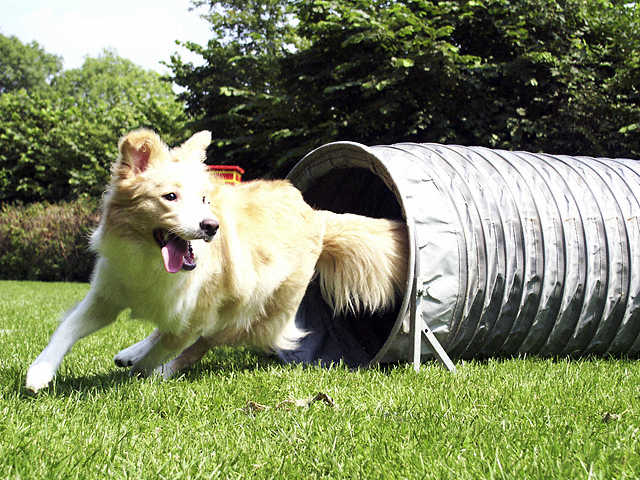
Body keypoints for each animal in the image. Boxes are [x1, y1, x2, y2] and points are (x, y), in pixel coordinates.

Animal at [25, 129, 408, 392]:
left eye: (204, 199)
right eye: (170, 197)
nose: (211, 227)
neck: (149, 259)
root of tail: (317, 215)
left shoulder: (194, 317)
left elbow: (169, 347)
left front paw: (142, 375)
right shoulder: (106, 295)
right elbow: (67, 329)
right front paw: (39, 373)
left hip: (246, 312)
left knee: (198, 346)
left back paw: (161, 372)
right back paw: (132, 352)